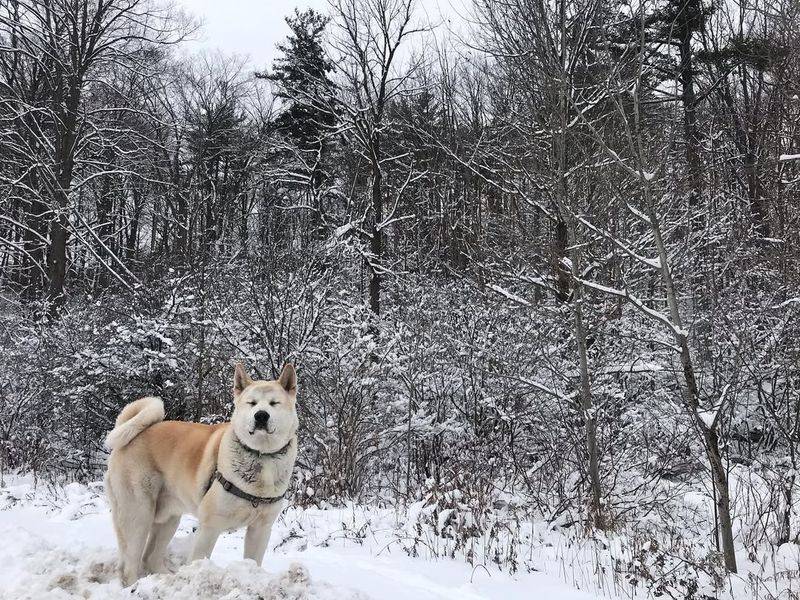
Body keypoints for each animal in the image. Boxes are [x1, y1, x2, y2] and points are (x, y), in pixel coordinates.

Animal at [103, 364, 296, 584]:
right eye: (252, 403)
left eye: (274, 403)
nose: (261, 415)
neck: (260, 455)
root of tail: (134, 434)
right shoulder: (210, 526)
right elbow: (198, 558)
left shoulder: (261, 529)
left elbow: (253, 562)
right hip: (138, 515)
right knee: (130, 565)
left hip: (168, 518)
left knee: (149, 557)